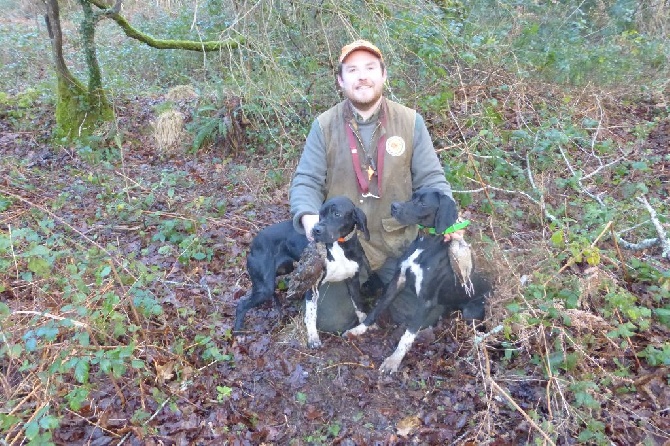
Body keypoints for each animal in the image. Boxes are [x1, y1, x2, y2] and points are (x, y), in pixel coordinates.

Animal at [236, 196, 372, 348]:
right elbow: (311, 314)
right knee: (241, 305)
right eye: (321, 214)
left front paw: (363, 324)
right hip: (265, 288)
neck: (340, 246)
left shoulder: (353, 280)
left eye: (337, 214)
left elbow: (358, 304)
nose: (315, 230)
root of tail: (253, 243)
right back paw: (238, 334)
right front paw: (313, 338)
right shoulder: (312, 286)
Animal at [346, 188, 488, 372]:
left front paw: (393, 361)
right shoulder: (396, 282)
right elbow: (376, 310)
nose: (394, 206)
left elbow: (408, 335)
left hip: (471, 312)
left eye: (422, 203)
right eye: (413, 196)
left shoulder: (426, 301)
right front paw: (359, 329)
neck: (424, 244)